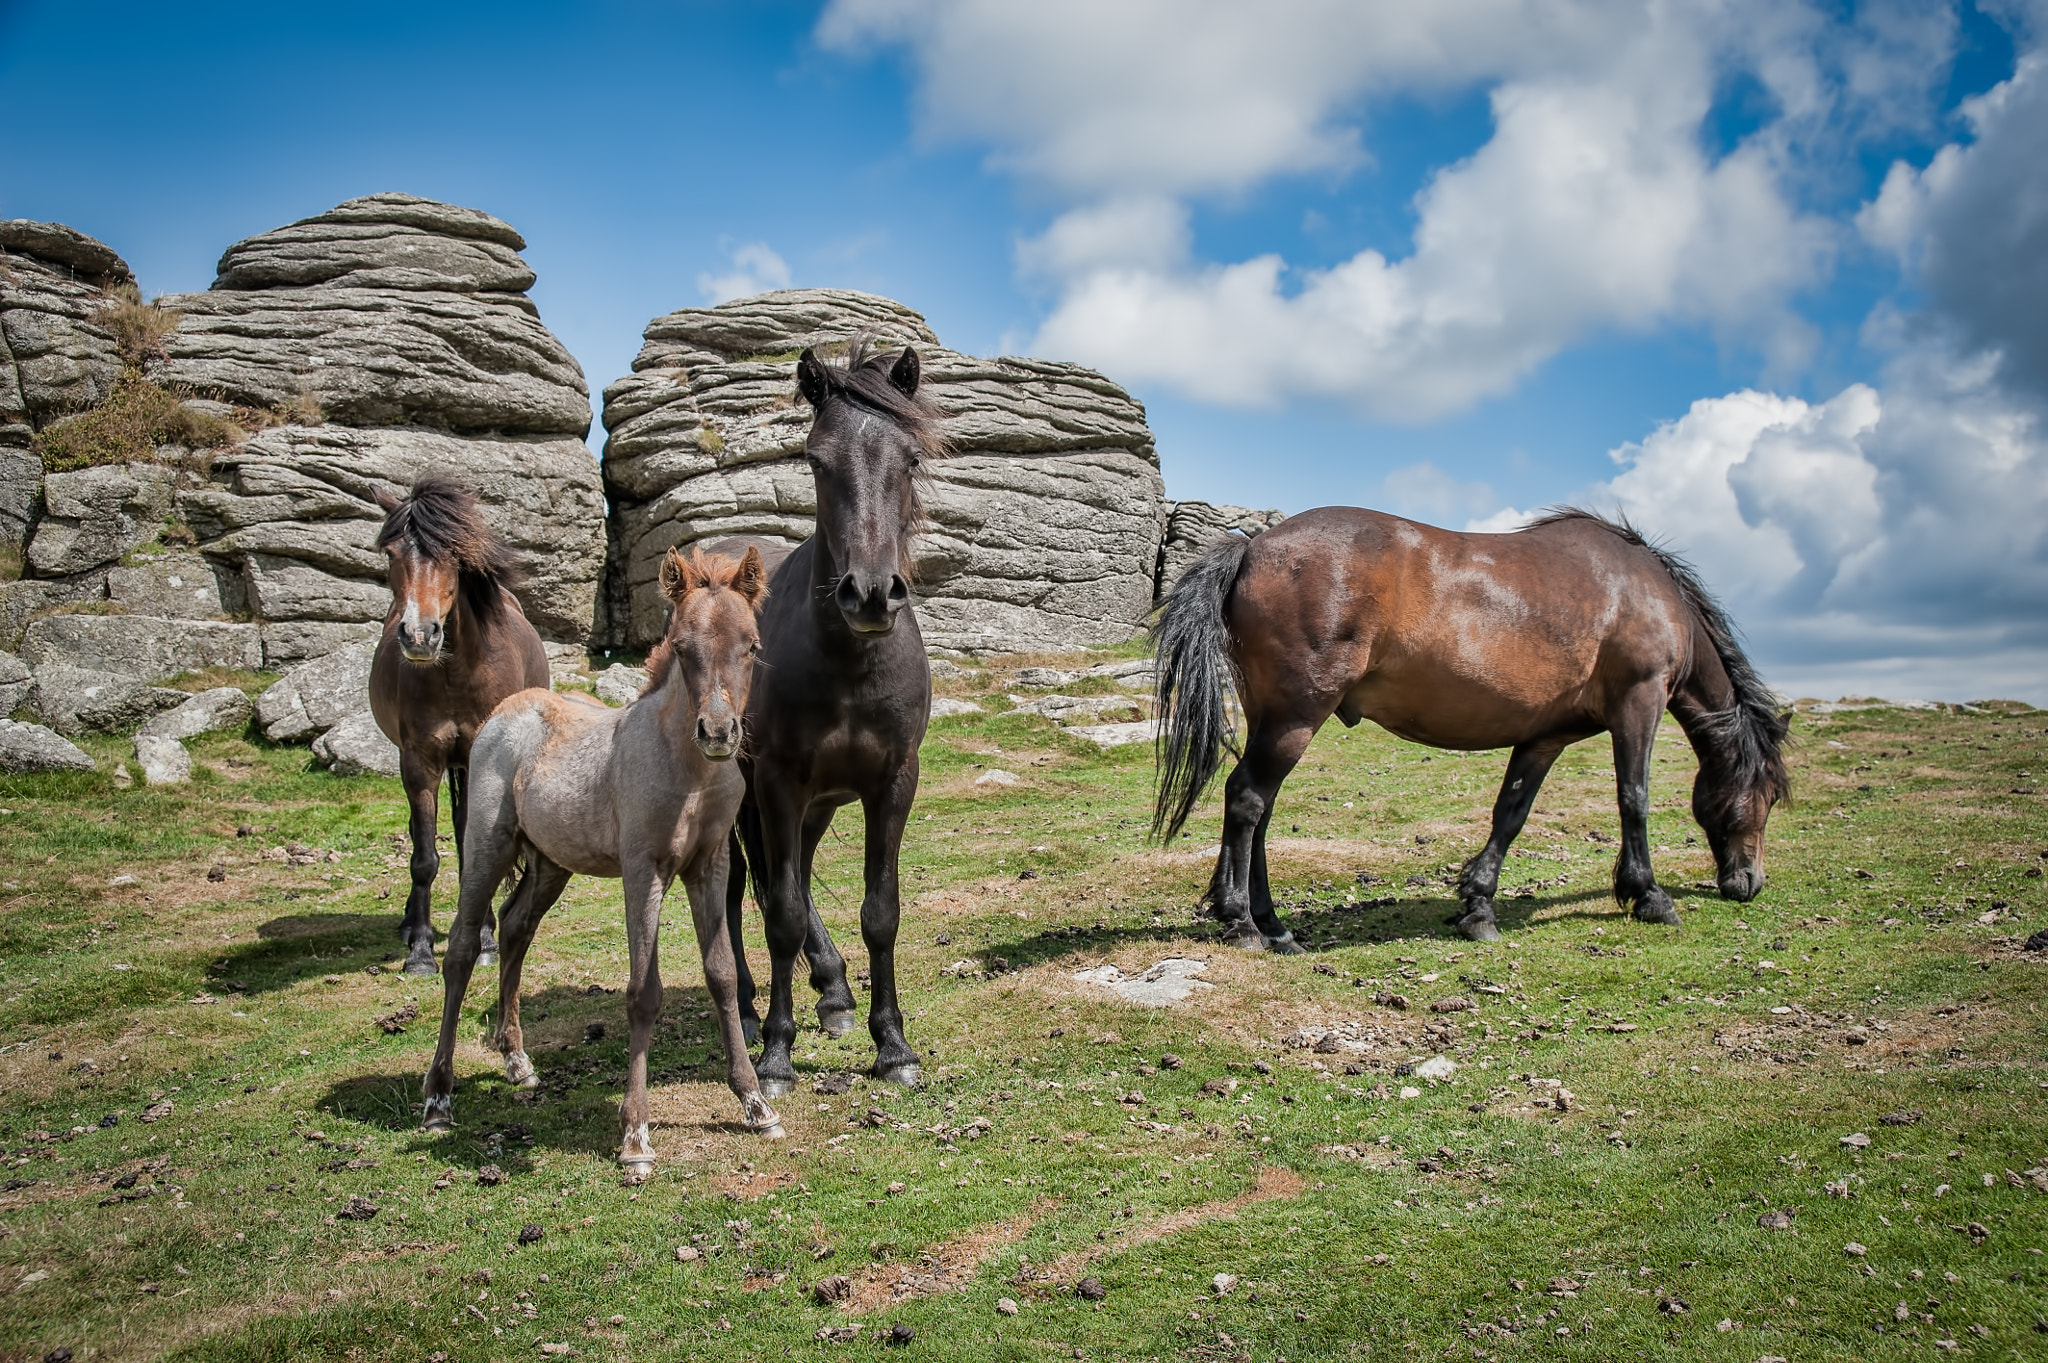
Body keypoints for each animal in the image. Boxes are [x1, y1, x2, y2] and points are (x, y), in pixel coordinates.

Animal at [369, 473, 551, 976]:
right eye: (391, 554)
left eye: (452, 556)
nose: (419, 635)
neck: (456, 673)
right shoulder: (419, 760)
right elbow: (424, 855)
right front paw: (419, 951)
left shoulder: (477, 757)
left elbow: (474, 850)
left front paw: (485, 939)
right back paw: (412, 924)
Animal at [422, 546, 779, 1182]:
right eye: (680, 646)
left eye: (752, 645)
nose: (717, 732)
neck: (689, 773)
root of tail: (505, 711)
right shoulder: (644, 870)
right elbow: (643, 992)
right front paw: (635, 1136)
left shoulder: (708, 866)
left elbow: (723, 975)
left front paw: (755, 1103)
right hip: (487, 845)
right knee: (463, 949)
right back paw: (438, 1096)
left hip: (551, 863)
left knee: (514, 928)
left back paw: (517, 1060)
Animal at [715, 341, 937, 1098]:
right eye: (816, 460)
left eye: (911, 458)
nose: (869, 593)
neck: (848, 664)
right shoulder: (778, 781)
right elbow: (779, 913)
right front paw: (777, 1055)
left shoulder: (892, 783)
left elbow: (881, 911)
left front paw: (893, 1045)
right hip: (738, 798)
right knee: (735, 892)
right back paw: (748, 1012)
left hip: (818, 804)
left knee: (798, 873)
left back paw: (834, 990)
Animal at [1152, 507, 1789, 946]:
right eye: (1767, 796)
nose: (1749, 882)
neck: (1642, 591)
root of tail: (1252, 547)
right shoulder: (1640, 702)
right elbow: (1633, 798)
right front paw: (1650, 896)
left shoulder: (1545, 736)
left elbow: (1511, 814)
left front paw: (1478, 906)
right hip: (1296, 717)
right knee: (1247, 798)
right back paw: (1243, 924)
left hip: (1273, 717)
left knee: (1258, 810)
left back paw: (1271, 923)